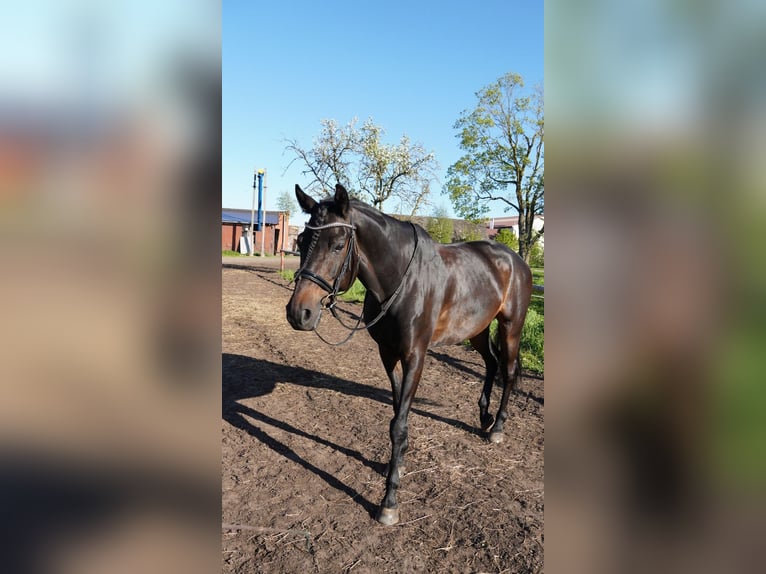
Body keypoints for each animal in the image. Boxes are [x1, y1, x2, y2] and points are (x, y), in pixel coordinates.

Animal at [284, 183, 532, 528]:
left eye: (337, 245)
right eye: (302, 240)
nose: (299, 313)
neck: (401, 280)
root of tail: (514, 259)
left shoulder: (415, 356)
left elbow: (399, 423)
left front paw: (389, 502)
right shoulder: (388, 354)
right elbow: (396, 413)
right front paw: (398, 461)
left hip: (511, 326)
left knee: (507, 371)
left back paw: (497, 428)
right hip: (477, 329)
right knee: (492, 363)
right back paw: (484, 418)